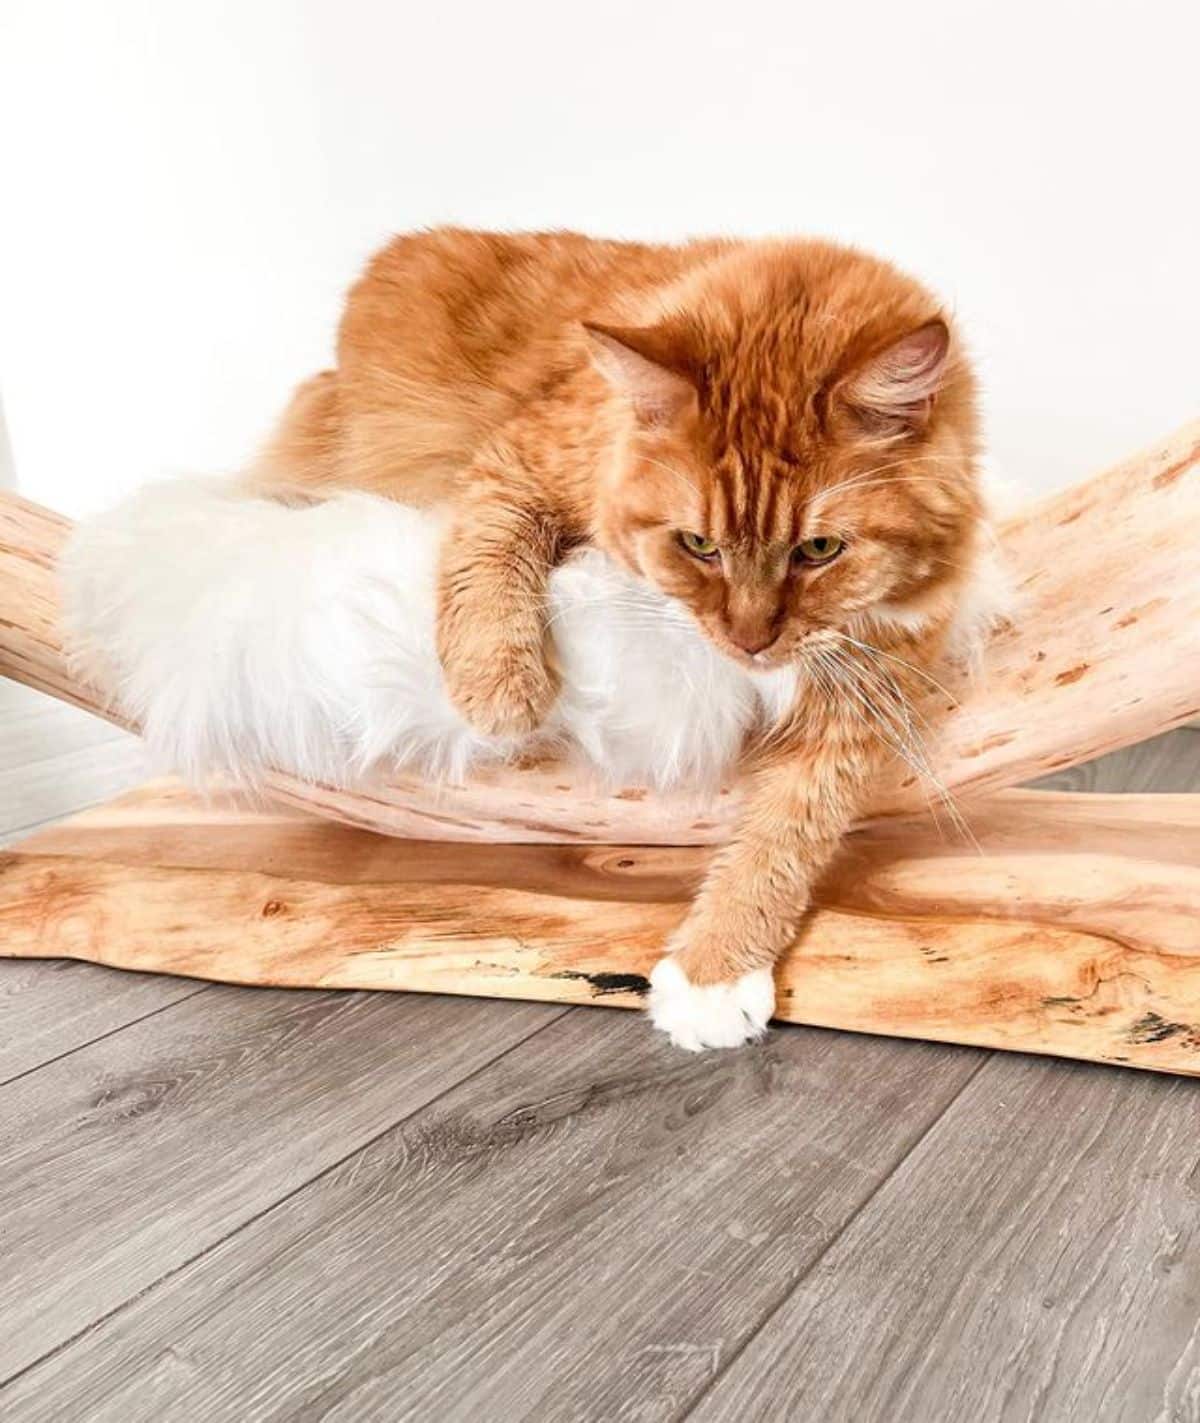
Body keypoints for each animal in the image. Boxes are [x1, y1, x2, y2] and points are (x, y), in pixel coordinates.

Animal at [257, 227, 979, 1053]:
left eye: (820, 550)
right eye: (698, 544)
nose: (749, 642)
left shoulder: (866, 685)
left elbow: (785, 836)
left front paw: (712, 973)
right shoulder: (518, 462)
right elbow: (490, 555)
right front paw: (501, 688)